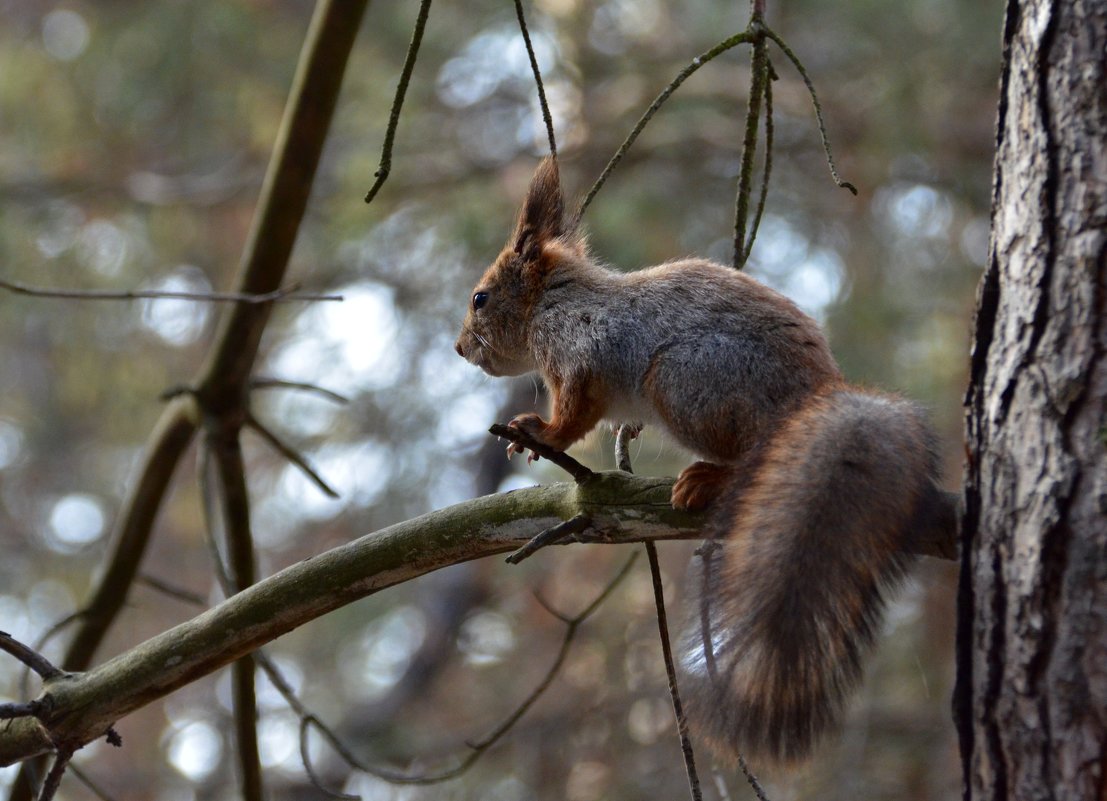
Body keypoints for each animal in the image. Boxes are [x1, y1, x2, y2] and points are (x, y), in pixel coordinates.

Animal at [453, 155, 956, 765]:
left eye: (480, 298)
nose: (459, 348)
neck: (555, 300)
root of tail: (817, 394)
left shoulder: (577, 352)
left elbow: (574, 416)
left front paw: (537, 430)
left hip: (684, 384)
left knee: (751, 450)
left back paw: (707, 479)